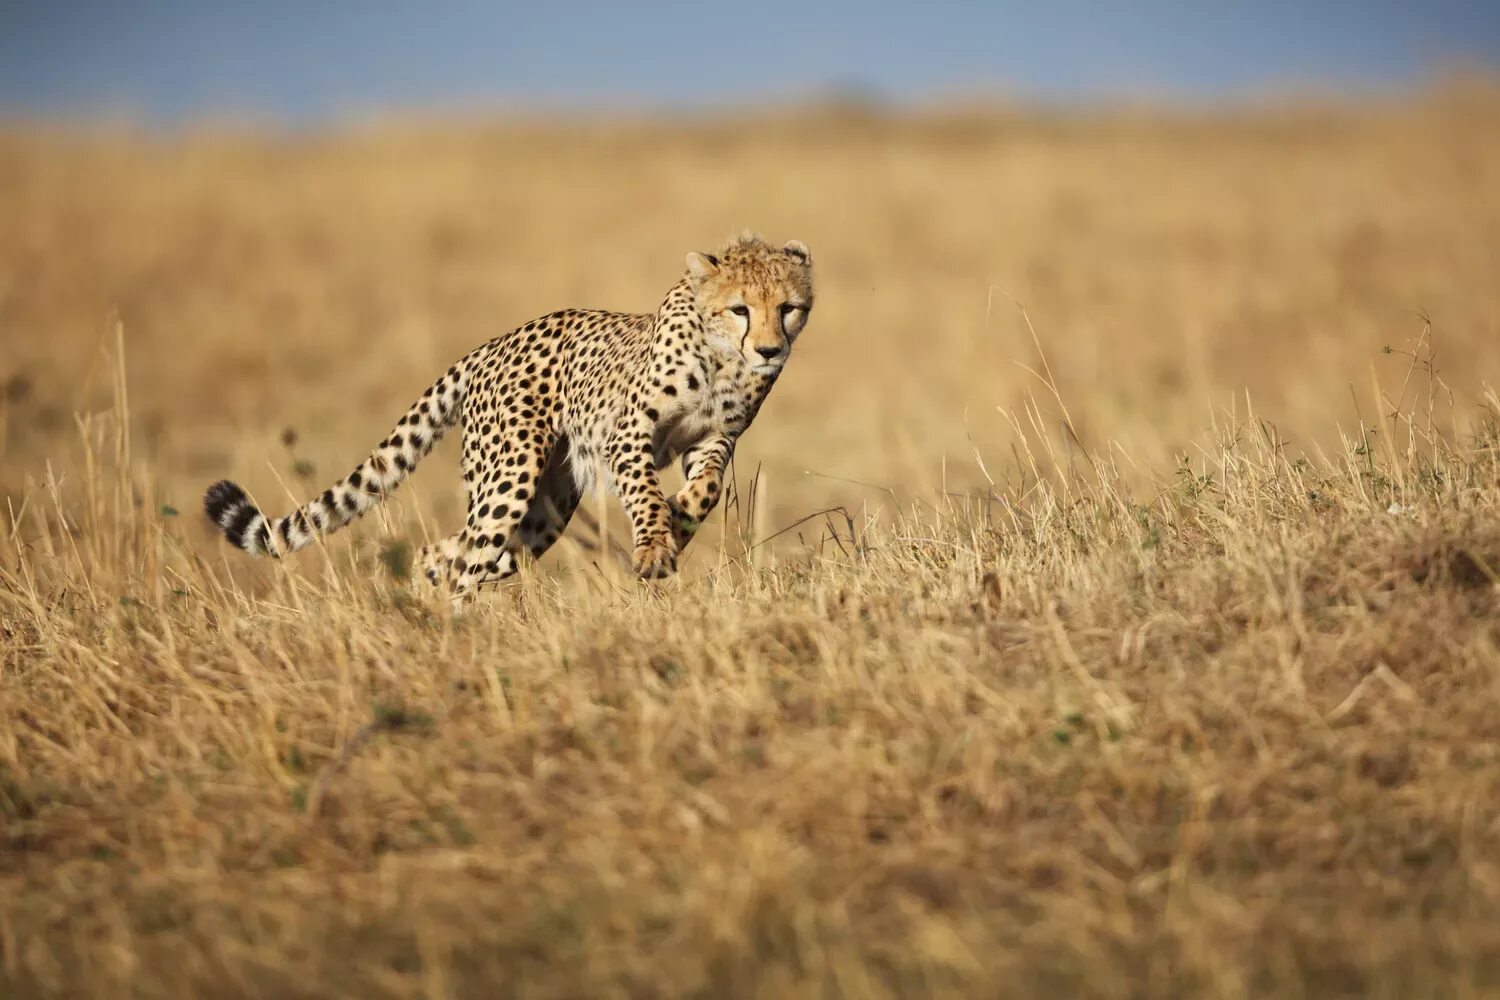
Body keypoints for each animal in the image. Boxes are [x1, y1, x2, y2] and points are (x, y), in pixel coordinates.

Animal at [204, 235, 816, 593]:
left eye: (788, 308)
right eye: (740, 309)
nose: (770, 350)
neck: (723, 360)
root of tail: (486, 347)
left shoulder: (714, 438)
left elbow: (706, 489)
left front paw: (677, 521)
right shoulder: (629, 433)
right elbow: (643, 491)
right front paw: (653, 544)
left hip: (545, 510)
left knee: (446, 555)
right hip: (510, 478)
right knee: (466, 562)